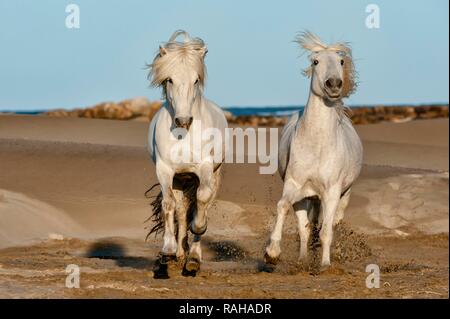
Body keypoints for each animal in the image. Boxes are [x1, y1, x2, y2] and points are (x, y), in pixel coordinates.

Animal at [147, 31, 227, 278]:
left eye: (196, 80)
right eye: (169, 79)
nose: (183, 120)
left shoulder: (204, 169)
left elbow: (201, 203)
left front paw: (197, 234)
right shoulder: (165, 170)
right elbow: (168, 205)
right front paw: (168, 251)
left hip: (212, 175)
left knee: (202, 204)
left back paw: (192, 259)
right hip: (180, 179)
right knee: (181, 211)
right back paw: (181, 253)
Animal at [266, 31, 364, 270]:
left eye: (341, 61)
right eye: (315, 61)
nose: (334, 84)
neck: (317, 144)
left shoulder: (331, 192)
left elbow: (327, 230)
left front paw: (325, 264)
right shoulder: (294, 185)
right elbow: (283, 207)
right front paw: (272, 253)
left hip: (342, 194)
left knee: (332, 222)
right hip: (307, 197)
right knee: (305, 227)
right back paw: (302, 259)